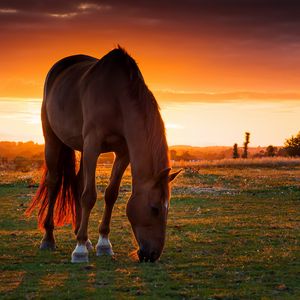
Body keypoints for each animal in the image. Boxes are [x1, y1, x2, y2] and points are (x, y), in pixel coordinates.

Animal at [25, 46, 180, 262]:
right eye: (155, 208)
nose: (152, 254)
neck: (117, 97)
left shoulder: (123, 152)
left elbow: (110, 194)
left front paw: (103, 243)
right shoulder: (93, 145)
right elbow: (89, 195)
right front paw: (80, 249)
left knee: (78, 183)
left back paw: (84, 236)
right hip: (53, 140)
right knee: (54, 183)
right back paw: (49, 239)